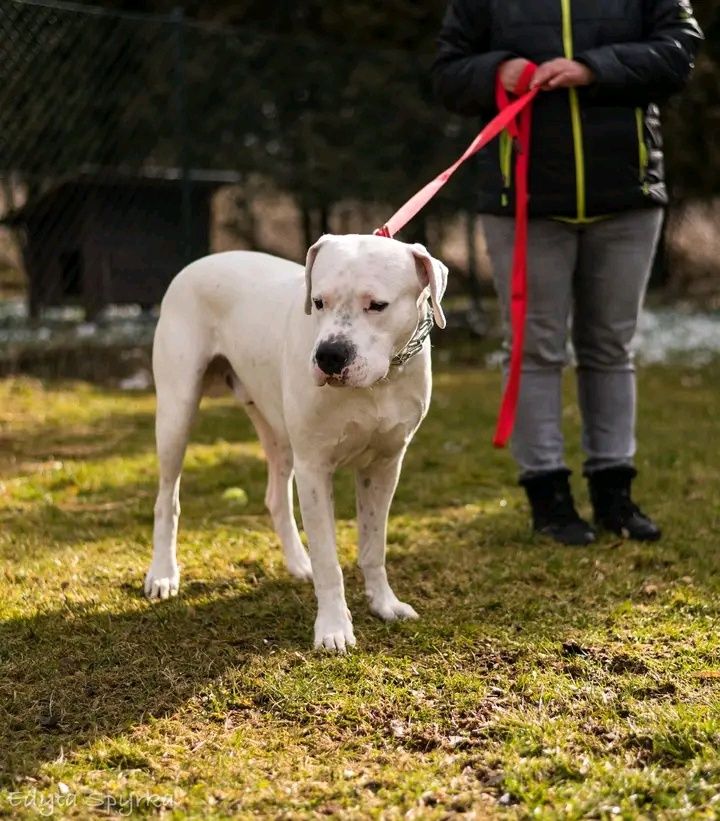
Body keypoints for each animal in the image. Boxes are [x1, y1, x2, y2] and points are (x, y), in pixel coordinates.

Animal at [146, 234, 448, 652]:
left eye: (377, 305)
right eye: (318, 302)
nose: (330, 355)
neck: (378, 384)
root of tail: (197, 264)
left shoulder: (385, 466)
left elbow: (374, 544)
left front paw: (384, 604)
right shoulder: (315, 469)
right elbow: (328, 559)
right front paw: (334, 627)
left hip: (277, 429)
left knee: (275, 496)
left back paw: (297, 563)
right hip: (177, 413)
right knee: (167, 500)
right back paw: (162, 574)